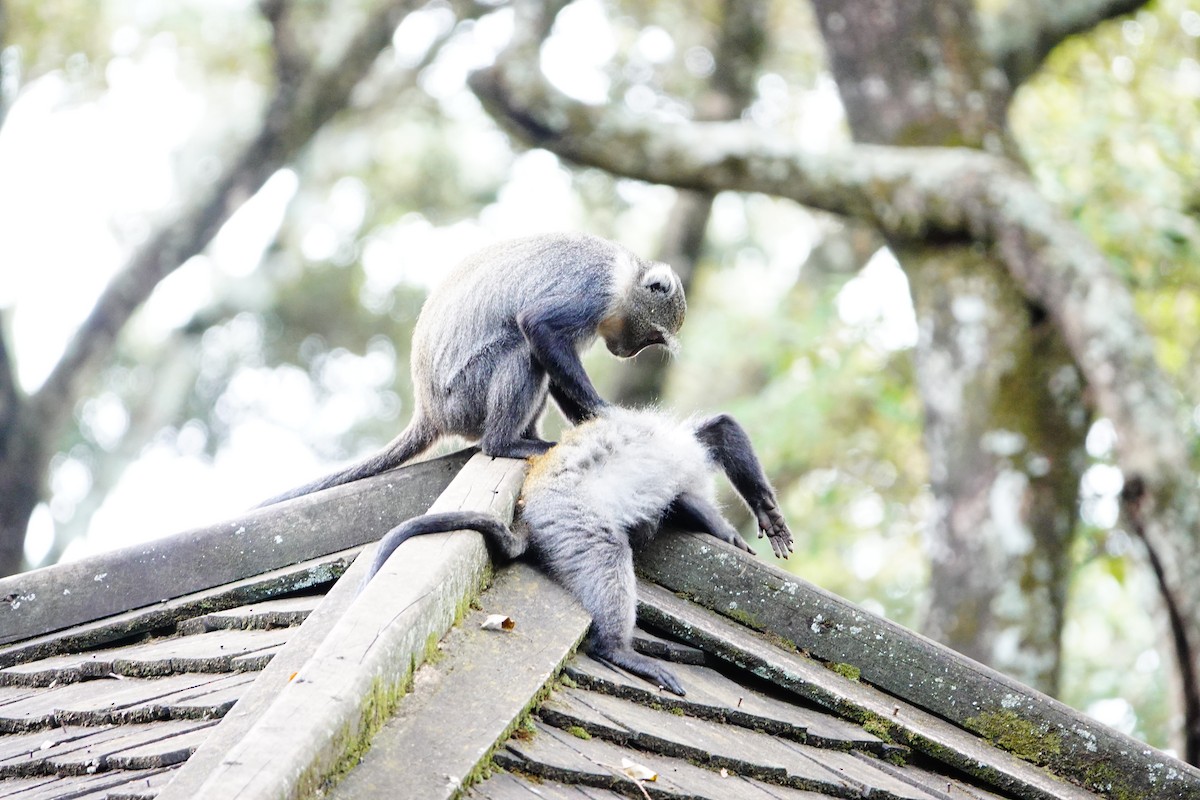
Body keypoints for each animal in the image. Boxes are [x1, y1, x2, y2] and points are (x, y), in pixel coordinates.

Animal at [260, 233, 686, 506]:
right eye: (651, 335)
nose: (629, 351)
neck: (626, 274)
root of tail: (429, 411)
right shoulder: (595, 289)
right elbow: (538, 328)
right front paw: (608, 413)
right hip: (465, 396)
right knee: (521, 350)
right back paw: (506, 443)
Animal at [359, 406, 794, 696]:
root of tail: (531, 516)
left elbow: (719, 434)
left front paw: (766, 511)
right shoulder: (679, 461)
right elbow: (699, 478)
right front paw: (733, 526)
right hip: (570, 515)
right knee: (608, 549)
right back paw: (615, 648)